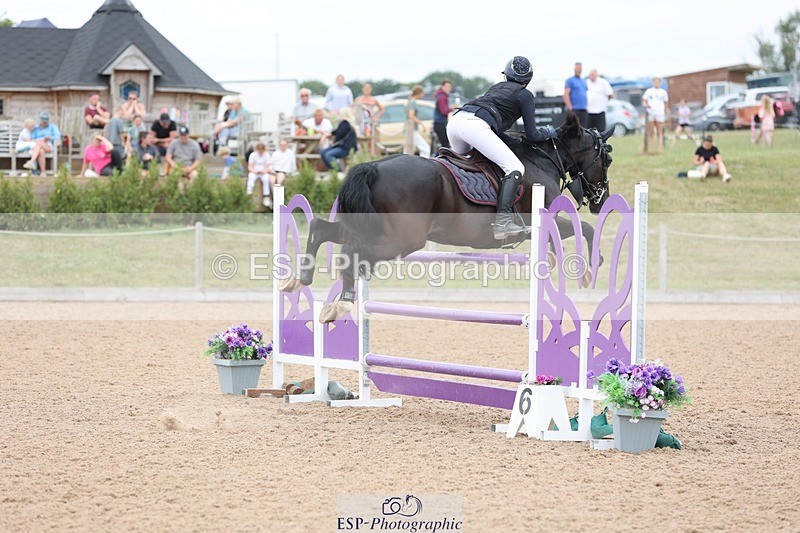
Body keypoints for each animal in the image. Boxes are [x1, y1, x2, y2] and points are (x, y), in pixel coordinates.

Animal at [282, 110, 614, 323]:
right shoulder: (541, 220)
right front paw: (591, 265)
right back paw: (343, 300)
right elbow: (584, 228)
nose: (600, 200)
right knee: (354, 251)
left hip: (371, 227)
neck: (542, 159)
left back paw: (304, 280)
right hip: (403, 240)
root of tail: (374, 166)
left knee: (322, 229)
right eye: (607, 157)